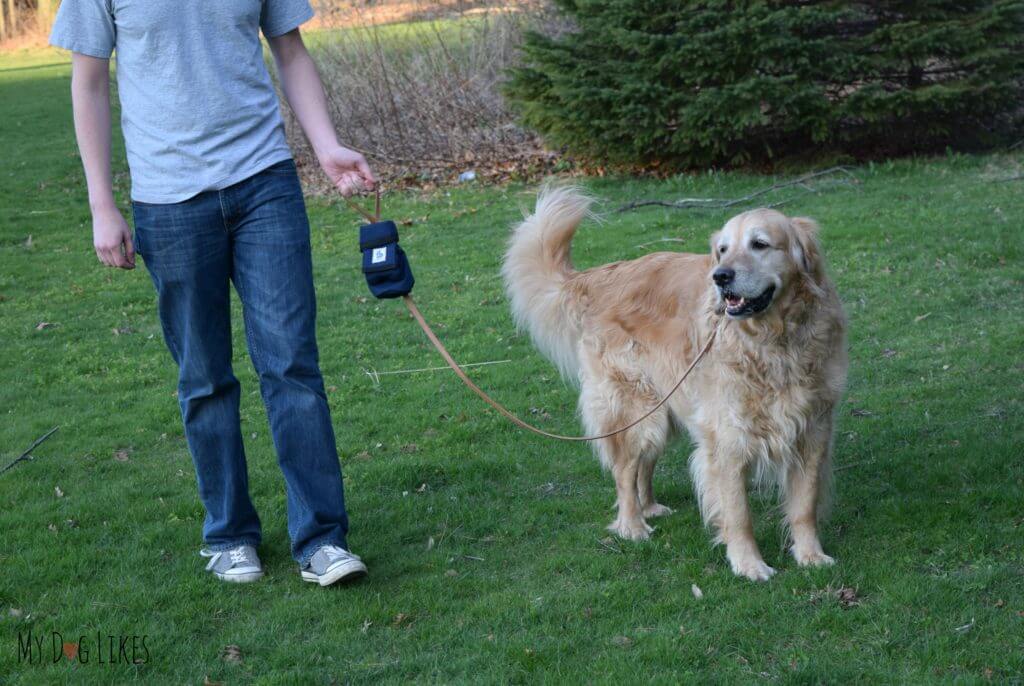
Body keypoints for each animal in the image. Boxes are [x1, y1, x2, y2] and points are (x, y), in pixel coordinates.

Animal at [503, 186, 847, 581]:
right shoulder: (726, 440)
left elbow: (804, 506)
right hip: (635, 411)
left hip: (662, 411)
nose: (720, 276)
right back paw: (632, 525)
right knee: (625, 471)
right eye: (723, 249)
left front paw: (810, 555)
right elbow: (738, 514)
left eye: (760, 244)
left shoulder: (814, 431)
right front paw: (748, 564)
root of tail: (599, 276)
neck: (772, 343)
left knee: (643, 467)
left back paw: (650, 507)